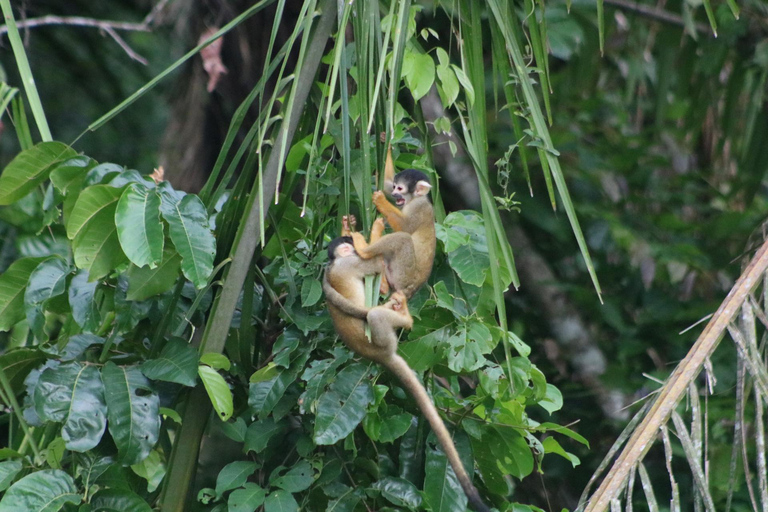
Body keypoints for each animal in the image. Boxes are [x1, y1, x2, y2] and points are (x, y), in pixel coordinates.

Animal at [324, 236, 492, 512]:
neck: (335, 264)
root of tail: (381, 356)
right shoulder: (350, 264)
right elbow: (376, 264)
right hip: (381, 339)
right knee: (374, 315)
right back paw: (404, 318)